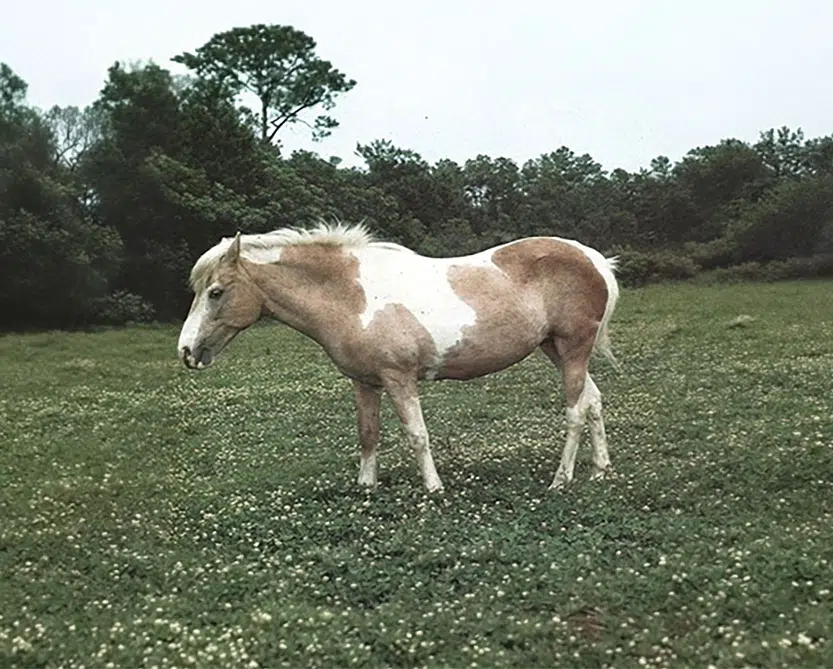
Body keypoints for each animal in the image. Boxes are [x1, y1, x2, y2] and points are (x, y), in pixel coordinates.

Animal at [177, 222, 620, 492]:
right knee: (594, 402)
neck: (352, 296)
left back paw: (561, 480)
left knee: (575, 412)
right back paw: (600, 470)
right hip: (557, 350)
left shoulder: (398, 378)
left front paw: (434, 489)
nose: (186, 351)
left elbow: (417, 435)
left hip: (573, 350)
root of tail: (593, 259)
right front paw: (367, 487)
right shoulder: (364, 382)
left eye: (216, 292)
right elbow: (368, 433)